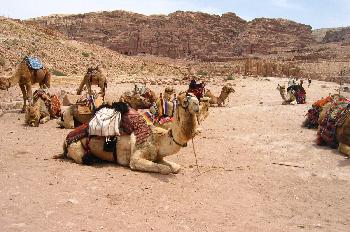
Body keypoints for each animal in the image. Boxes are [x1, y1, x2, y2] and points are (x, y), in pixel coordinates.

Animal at [56, 92, 201, 174]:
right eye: (185, 101)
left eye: (196, 98)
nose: (197, 105)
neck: (158, 140)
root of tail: (65, 140)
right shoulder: (136, 158)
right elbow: (165, 169)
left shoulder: (158, 156)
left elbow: (176, 167)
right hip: (76, 146)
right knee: (83, 157)